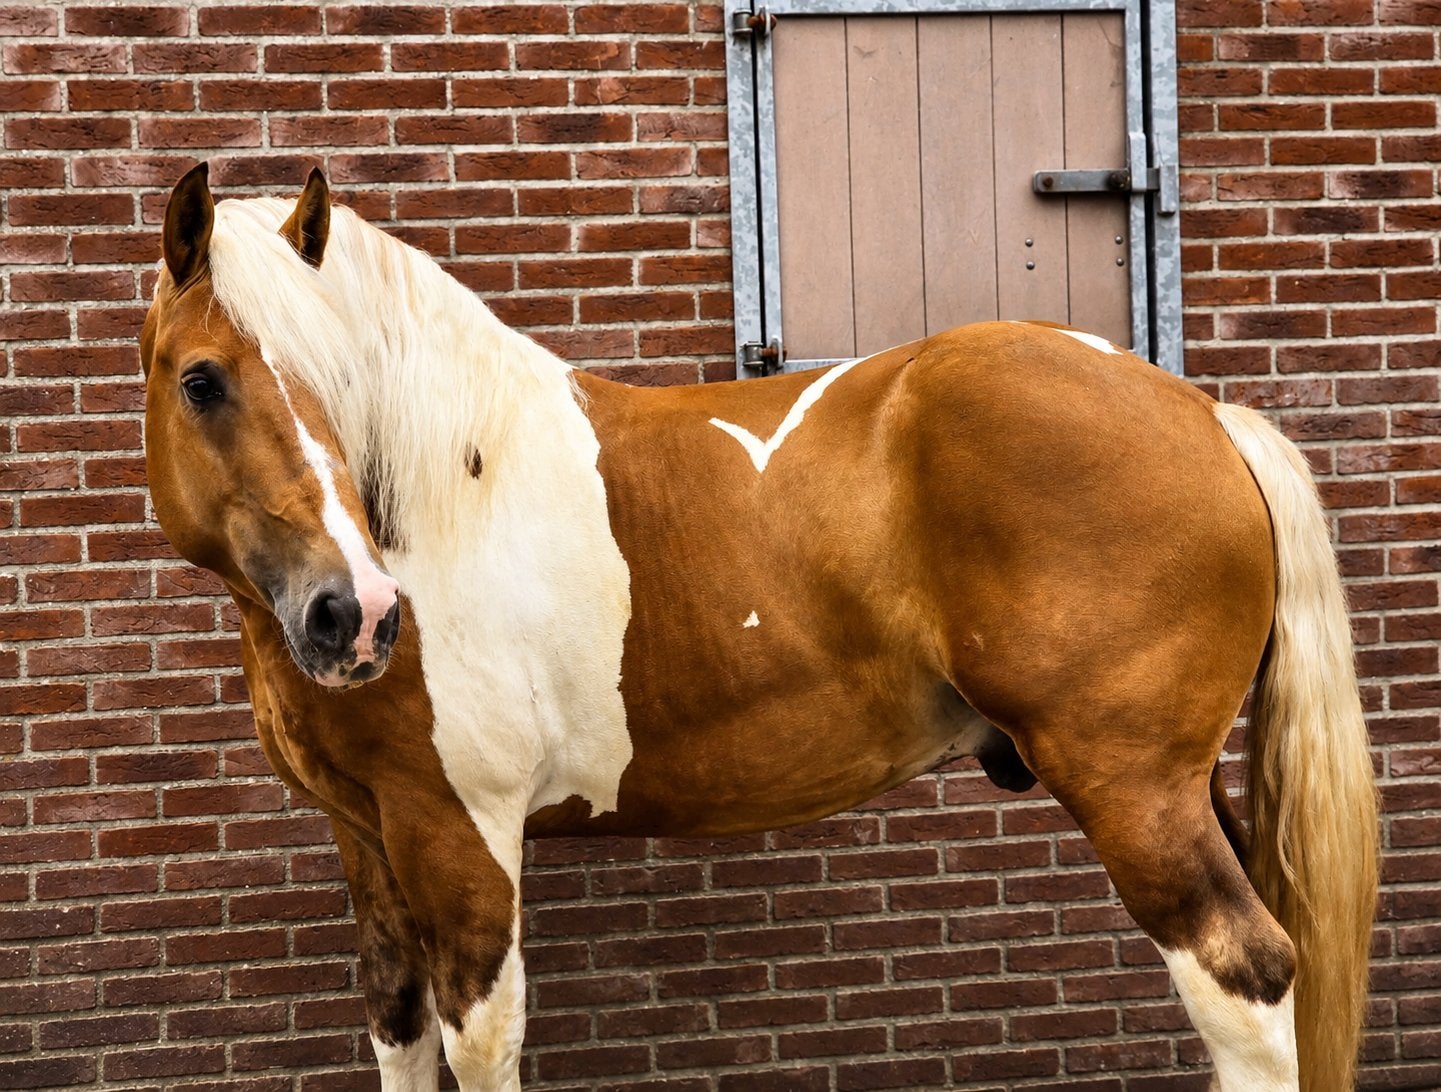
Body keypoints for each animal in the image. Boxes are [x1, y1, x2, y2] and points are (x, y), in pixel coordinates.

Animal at [140, 163, 1377, 1092]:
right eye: (200, 381)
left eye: (338, 379)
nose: (353, 614)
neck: (441, 499)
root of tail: (1201, 413)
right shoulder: (369, 838)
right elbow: (397, 1033)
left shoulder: (462, 838)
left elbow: (479, 1046)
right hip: (1183, 785)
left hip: (1132, 791)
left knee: (1241, 980)